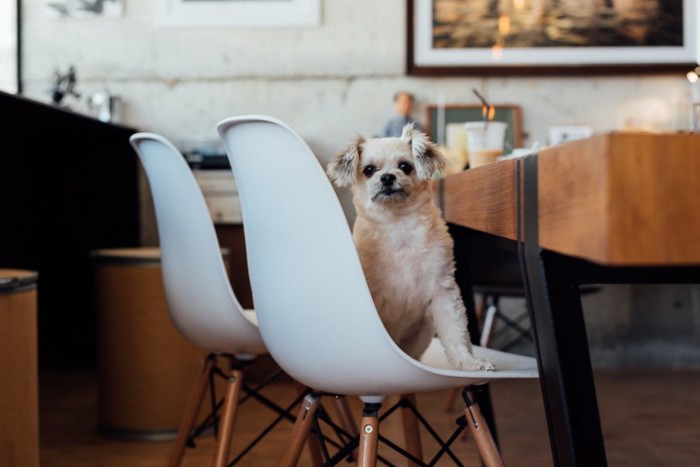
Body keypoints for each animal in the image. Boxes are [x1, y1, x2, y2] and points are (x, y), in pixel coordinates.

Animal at [326, 124, 492, 372]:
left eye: (405, 166)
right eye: (369, 170)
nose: (387, 176)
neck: (398, 224)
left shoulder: (443, 290)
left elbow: (456, 333)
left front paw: (469, 362)